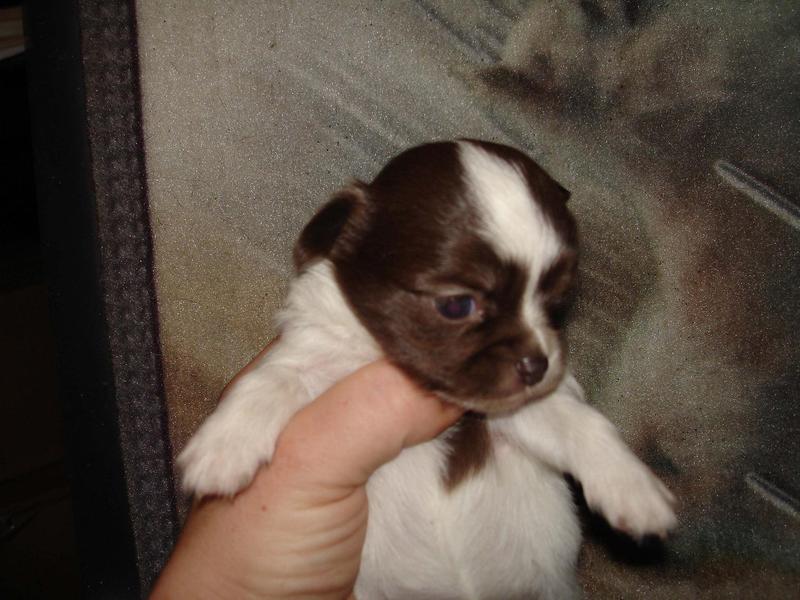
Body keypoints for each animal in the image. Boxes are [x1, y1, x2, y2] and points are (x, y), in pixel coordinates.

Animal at [178, 139, 677, 599]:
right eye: (457, 305)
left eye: (557, 304)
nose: (538, 365)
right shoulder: (313, 354)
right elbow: (270, 380)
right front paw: (223, 447)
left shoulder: (505, 410)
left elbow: (579, 423)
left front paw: (632, 487)